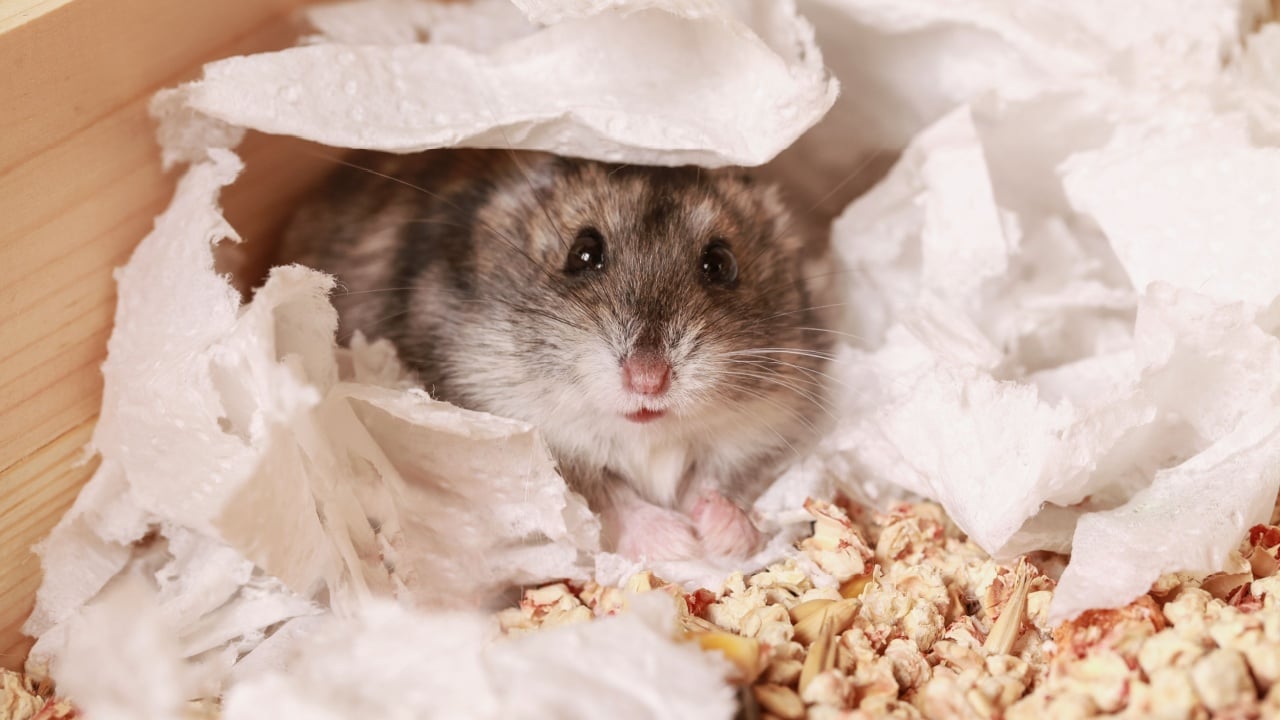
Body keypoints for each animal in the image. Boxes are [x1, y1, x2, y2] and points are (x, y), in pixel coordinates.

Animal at [278, 149, 837, 561]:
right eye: (583, 254)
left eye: (720, 264)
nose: (648, 380)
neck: (645, 436)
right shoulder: (527, 443)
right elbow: (601, 494)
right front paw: (676, 544)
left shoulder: (761, 429)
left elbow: (721, 479)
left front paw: (723, 537)